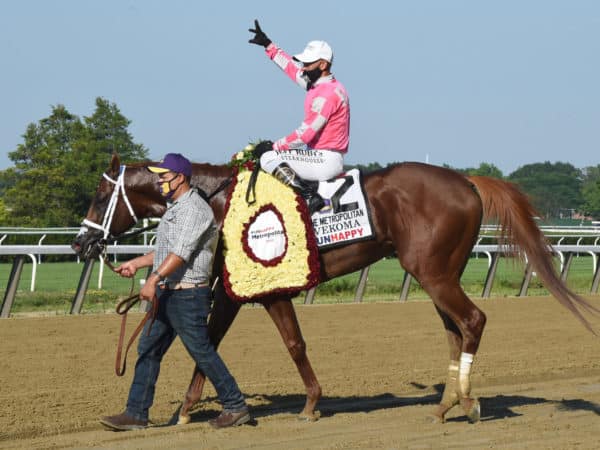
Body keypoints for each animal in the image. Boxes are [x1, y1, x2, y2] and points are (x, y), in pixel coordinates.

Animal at [72, 153, 596, 424]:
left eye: (100, 195)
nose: (81, 242)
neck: (219, 202)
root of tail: (466, 180)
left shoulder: (257, 289)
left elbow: (275, 343)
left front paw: (307, 404)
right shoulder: (241, 291)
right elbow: (221, 341)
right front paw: (190, 408)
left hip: (434, 273)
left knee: (473, 320)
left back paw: (468, 402)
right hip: (438, 274)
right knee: (455, 328)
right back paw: (448, 402)